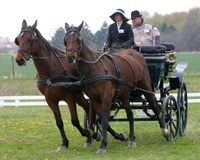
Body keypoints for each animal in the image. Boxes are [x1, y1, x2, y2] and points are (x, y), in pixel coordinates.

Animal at [14, 20, 93, 152]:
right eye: (18, 39)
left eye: (30, 39)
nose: (19, 60)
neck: (50, 70)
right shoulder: (50, 100)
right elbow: (59, 122)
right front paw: (64, 143)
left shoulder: (69, 97)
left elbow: (74, 121)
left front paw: (86, 133)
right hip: (78, 95)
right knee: (88, 108)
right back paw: (90, 137)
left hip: (77, 95)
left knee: (90, 108)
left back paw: (91, 135)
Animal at [64, 21, 170, 154]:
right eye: (65, 40)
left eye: (78, 39)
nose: (70, 57)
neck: (94, 68)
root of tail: (136, 53)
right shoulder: (93, 99)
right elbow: (92, 118)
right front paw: (89, 140)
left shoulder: (106, 98)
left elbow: (104, 120)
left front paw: (103, 145)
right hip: (125, 95)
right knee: (130, 115)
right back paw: (132, 139)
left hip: (146, 87)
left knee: (155, 106)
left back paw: (165, 131)